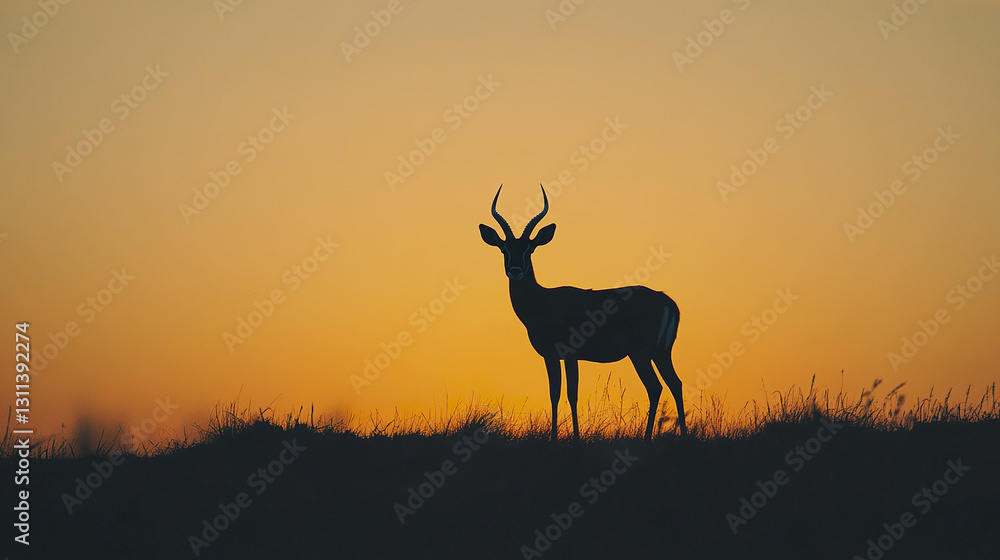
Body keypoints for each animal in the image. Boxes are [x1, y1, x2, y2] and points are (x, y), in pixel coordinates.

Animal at [480, 185, 686, 441]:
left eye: (529, 248)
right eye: (504, 249)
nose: (515, 270)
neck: (542, 302)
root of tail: (666, 300)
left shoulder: (567, 354)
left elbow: (570, 394)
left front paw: (570, 439)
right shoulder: (552, 356)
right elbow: (555, 393)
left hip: (641, 354)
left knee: (655, 386)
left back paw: (648, 439)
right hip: (660, 353)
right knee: (675, 383)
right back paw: (684, 436)